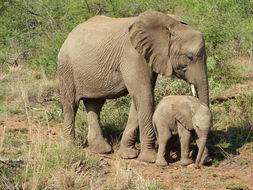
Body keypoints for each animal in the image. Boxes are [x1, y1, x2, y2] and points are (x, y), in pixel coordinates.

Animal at [57, 9, 210, 163]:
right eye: (189, 57)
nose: (206, 160)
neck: (170, 24)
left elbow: (139, 99)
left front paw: (128, 154)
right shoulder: (133, 55)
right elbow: (145, 95)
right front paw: (150, 158)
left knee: (95, 105)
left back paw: (102, 150)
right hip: (66, 66)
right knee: (71, 105)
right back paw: (69, 147)